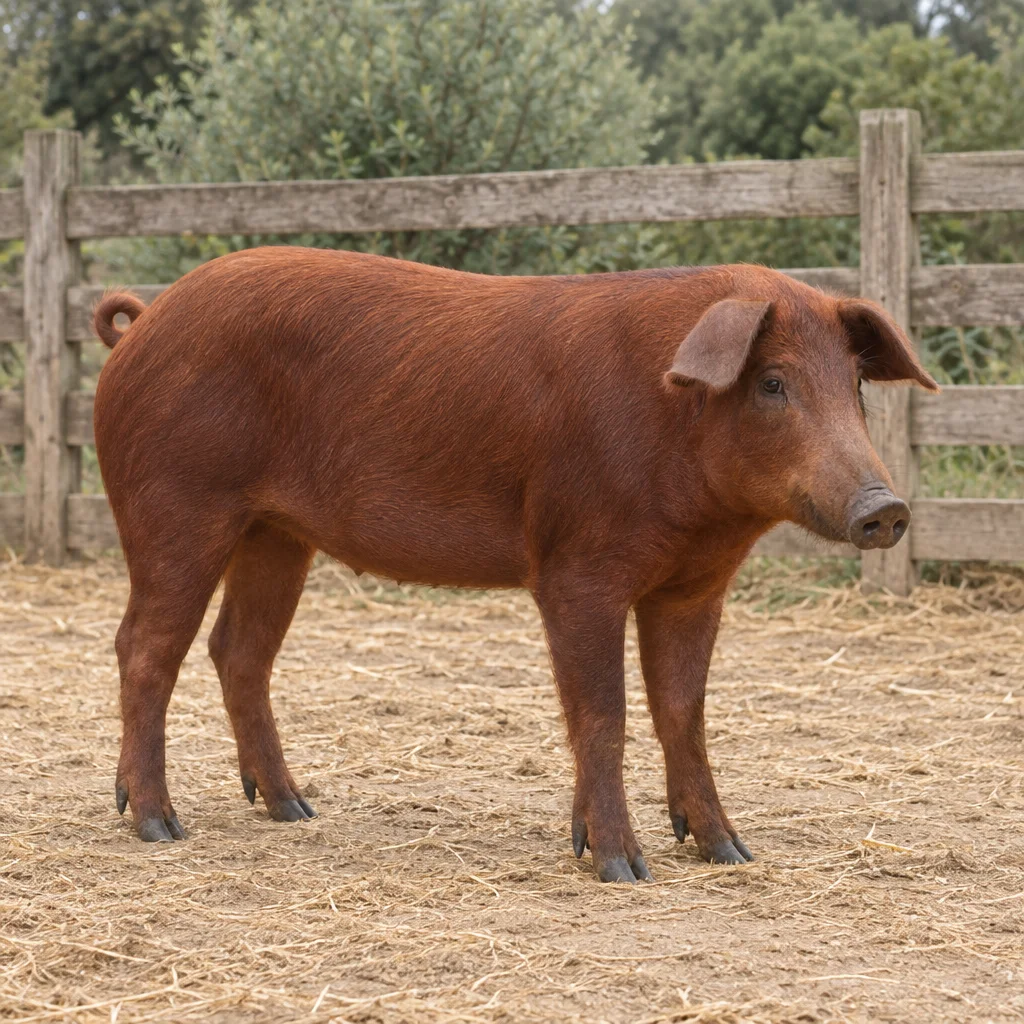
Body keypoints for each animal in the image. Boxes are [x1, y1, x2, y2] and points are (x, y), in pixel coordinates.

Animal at [92, 247, 937, 882]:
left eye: (855, 385)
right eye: (772, 382)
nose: (885, 507)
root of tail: (140, 327)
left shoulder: (693, 587)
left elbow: (684, 713)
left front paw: (728, 852)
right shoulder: (575, 572)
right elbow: (603, 714)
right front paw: (622, 868)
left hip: (276, 533)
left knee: (238, 652)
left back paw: (294, 808)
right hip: (175, 507)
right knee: (144, 648)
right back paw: (159, 825)